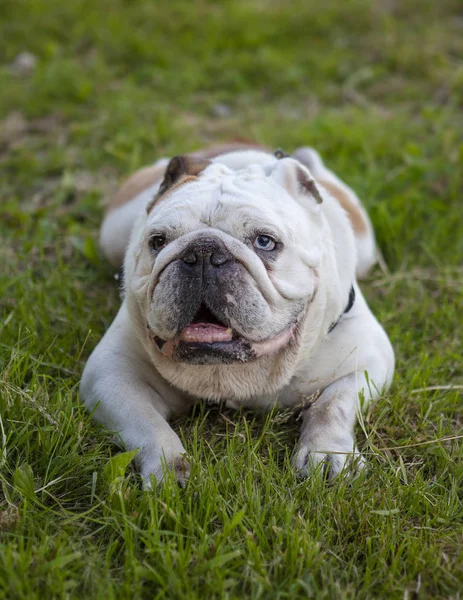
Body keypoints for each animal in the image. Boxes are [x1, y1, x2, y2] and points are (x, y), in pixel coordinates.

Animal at [80, 143, 396, 486]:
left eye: (265, 242)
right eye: (158, 241)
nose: (203, 251)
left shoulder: (366, 362)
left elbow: (333, 405)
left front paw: (326, 453)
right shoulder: (111, 375)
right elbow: (144, 421)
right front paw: (167, 465)